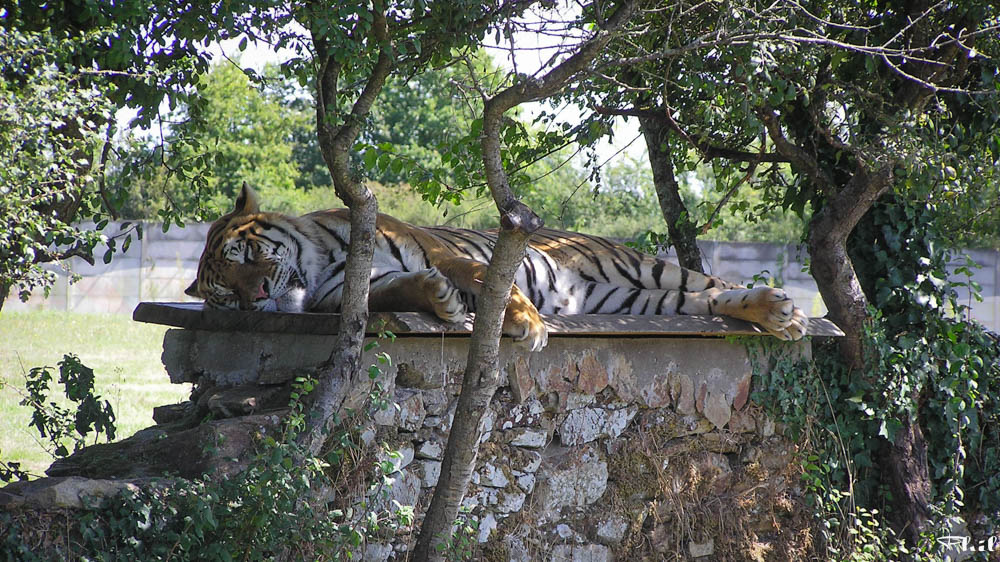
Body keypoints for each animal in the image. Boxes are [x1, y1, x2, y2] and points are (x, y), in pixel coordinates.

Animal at [186, 184, 812, 350]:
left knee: (717, 284)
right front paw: (437, 299)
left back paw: (786, 312)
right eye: (227, 295)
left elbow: (488, 280)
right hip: (638, 300)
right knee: (707, 300)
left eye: (248, 257)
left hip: (650, 272)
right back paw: (776, 316)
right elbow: (398, 290)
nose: (258, 296)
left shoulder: (435, 248)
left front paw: (526, 323)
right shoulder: (354, 291)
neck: (322, 263)